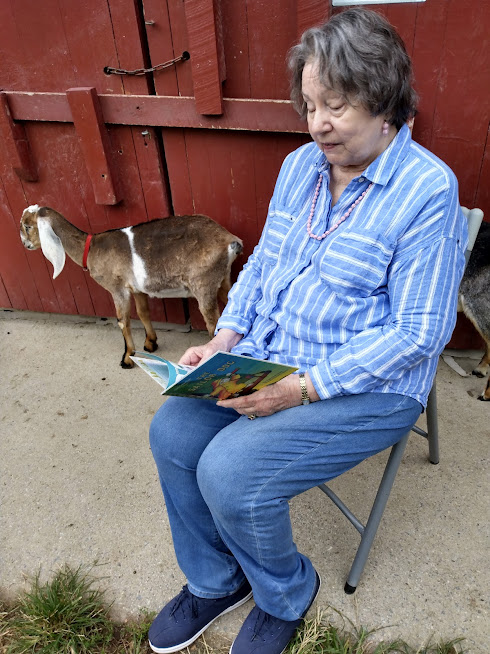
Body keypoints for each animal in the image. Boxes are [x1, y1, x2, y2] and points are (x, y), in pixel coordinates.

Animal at [20, 205, 243, 368]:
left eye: (27, 226)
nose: (25, 245)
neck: (90, 248)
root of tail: (230, 240)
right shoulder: (136, 289)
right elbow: (143, 313)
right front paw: (150, 343)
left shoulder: (117, 288)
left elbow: (123, 320)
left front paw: (127, 358)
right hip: (223, 279)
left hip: (204, 284)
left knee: (213, 322)